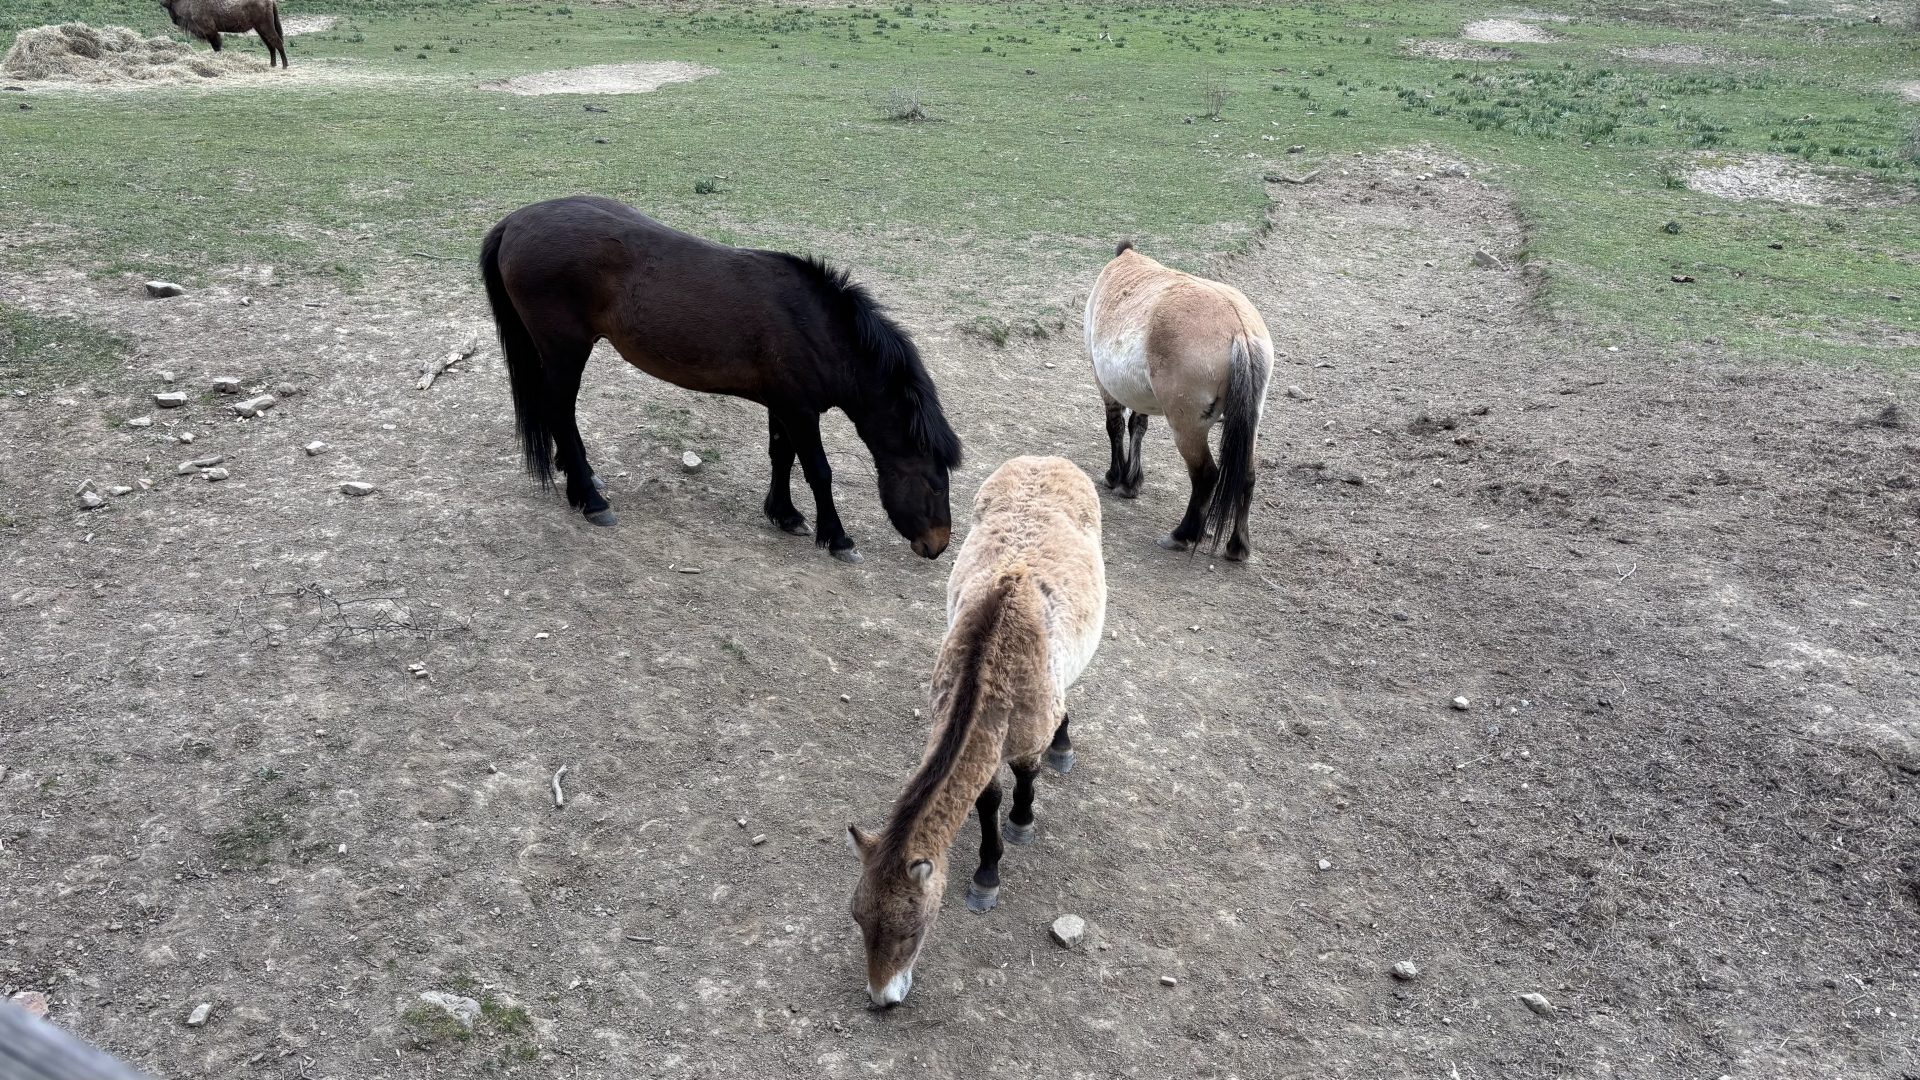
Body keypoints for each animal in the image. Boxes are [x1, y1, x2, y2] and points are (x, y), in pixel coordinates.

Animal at [159, 0, 288, 68]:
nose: (161, 2)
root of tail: (270, 1)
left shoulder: (210, 31)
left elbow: (217, 46)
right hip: (260, 29)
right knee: (270, 45)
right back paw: (272, 64)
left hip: (265, 26)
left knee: (277, 42)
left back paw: (284, 66)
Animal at [479, 196, 962, 563]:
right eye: (936, 485)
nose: (937, 546)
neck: (817, 327)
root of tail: (514, 222)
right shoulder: (802, 412)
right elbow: (819, 471)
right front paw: (837, 537)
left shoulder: (783, 406)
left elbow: (781, 457)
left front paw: (785, 515)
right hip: (565, 352)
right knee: (559, 410)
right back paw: (591, 500)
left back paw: (581, 476)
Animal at [846, 456, 1106, 1007]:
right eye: (858, 919)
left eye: (910, 931)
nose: (882, 999)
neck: (991, 657)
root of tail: (1048, 457)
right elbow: (987, 798)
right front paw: (988, 870)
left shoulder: (1024, 740)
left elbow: (1026, 778)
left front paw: (1020, 827)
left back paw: (1064, 744)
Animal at [1084, 241, 1275, 561]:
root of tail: (1238, 330)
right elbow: (1138, 425)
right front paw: (1131, 483)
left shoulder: (1105, 385)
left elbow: (1115, 427)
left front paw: (1115, 477)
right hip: (1249, 424)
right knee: (1246, 476)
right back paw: (1237, 546)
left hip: (1187, 428)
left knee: (1206, 475)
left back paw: (1181, 535)